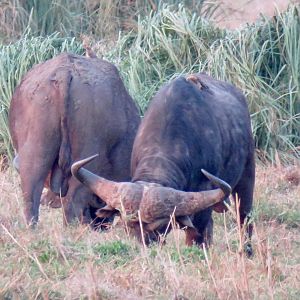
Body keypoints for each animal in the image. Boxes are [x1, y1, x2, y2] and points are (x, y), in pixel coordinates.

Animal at [9, 52, 141, 226]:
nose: (101, 225)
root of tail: (64, 72)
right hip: (86, 163)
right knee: (72, 204)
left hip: (36, 152)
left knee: (31, 198)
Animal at [71, 72, 254, 255]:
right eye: (127, 223)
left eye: (161, 224)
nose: (145, 243)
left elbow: (196, 234)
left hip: (247, 175)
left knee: (244, 216)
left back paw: (246, 251)